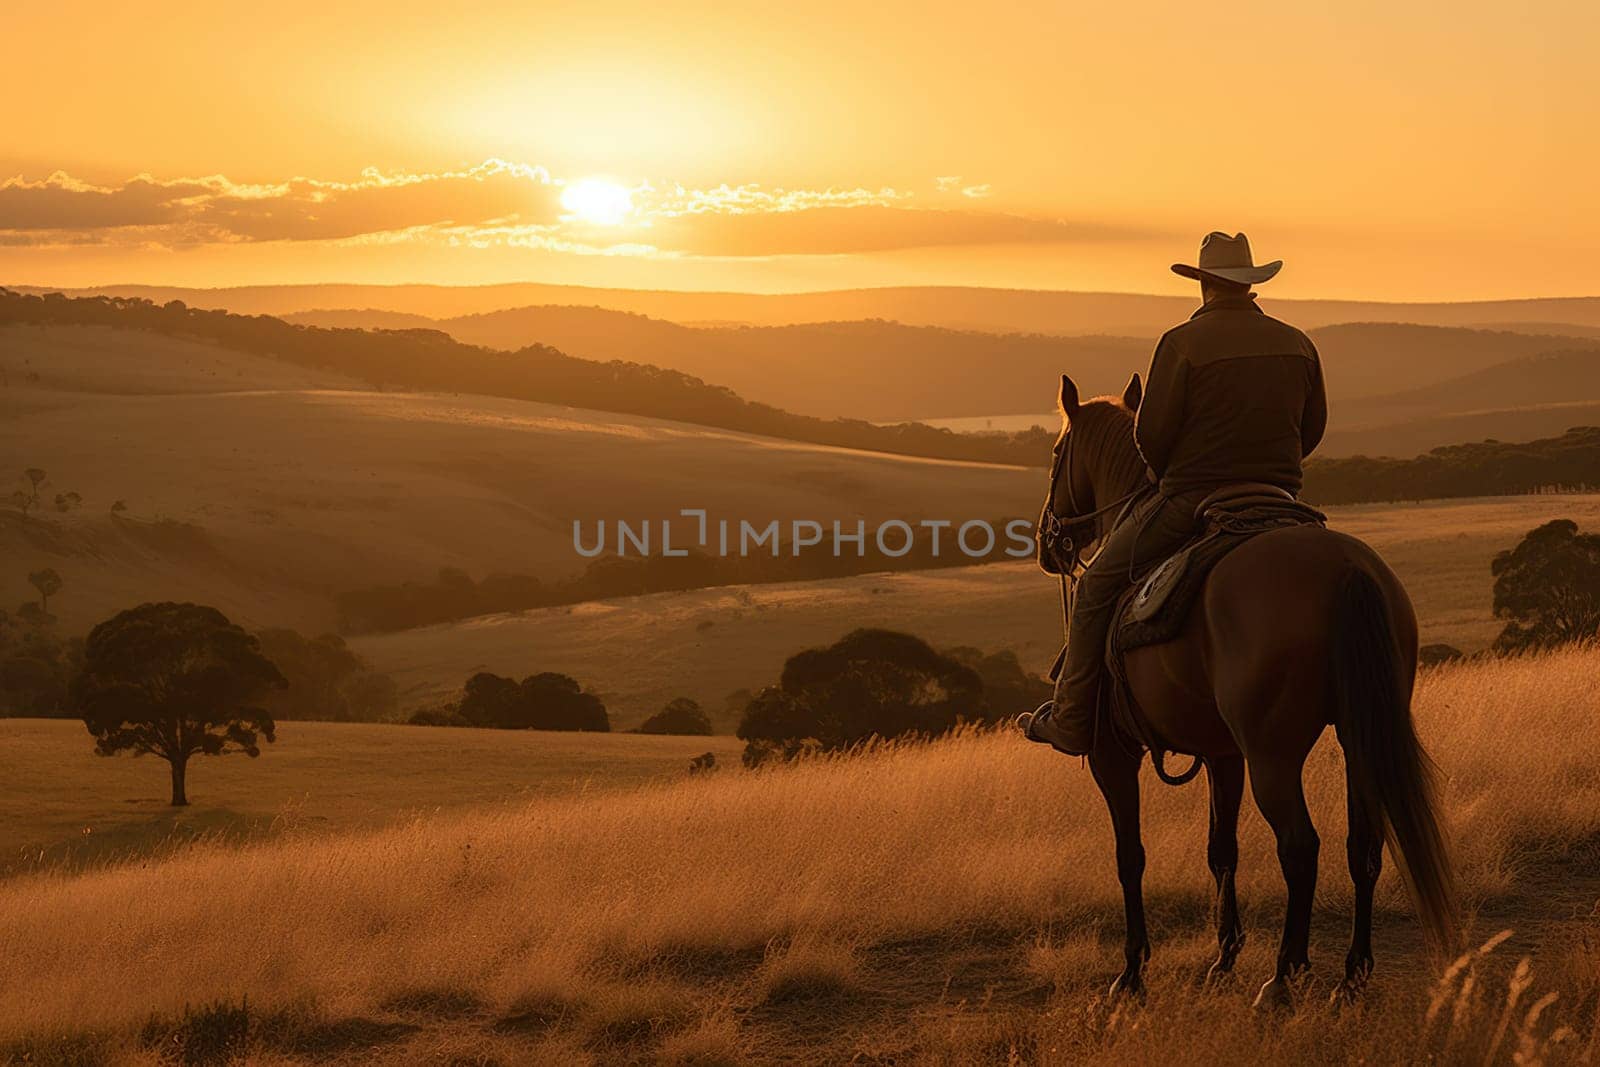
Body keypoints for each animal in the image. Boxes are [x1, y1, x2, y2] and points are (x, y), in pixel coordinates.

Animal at [1036, 374, 1465, 1011]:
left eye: (1056, 454)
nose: (1048, 541)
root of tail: (1344, 569)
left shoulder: (1114, 754)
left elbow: (1129, 857)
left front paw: (1132, 973)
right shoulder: (1222, 754)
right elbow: (1222, 848)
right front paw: (1223, 958)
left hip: (1273, 755)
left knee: (1300, 848)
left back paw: (1284, 977)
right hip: (1355, 737)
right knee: (1363, 845)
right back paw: (1350, 978)